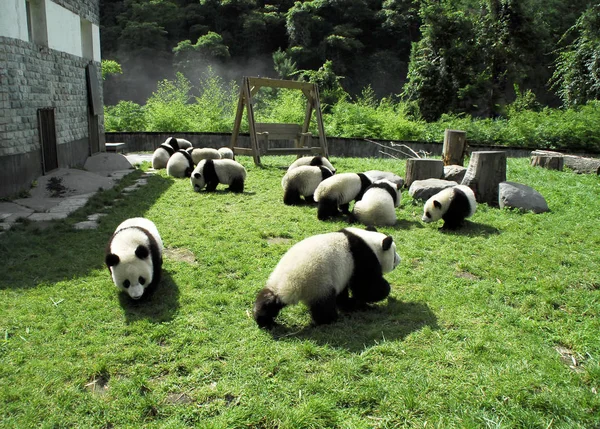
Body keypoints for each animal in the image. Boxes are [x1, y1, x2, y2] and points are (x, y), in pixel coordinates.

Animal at [251, 226, 400, 326]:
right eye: (394, 254)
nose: (399, 260)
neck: (367, 240)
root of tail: (289, 286)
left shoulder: (343, 271)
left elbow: (345, 290)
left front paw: (350, 302)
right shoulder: (361, 257)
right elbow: (366, 286)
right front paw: (383, 292)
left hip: (277, 282)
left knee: (269, 299)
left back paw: (263, 318)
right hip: (318, 284)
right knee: (323, 306)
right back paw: (331, 319)